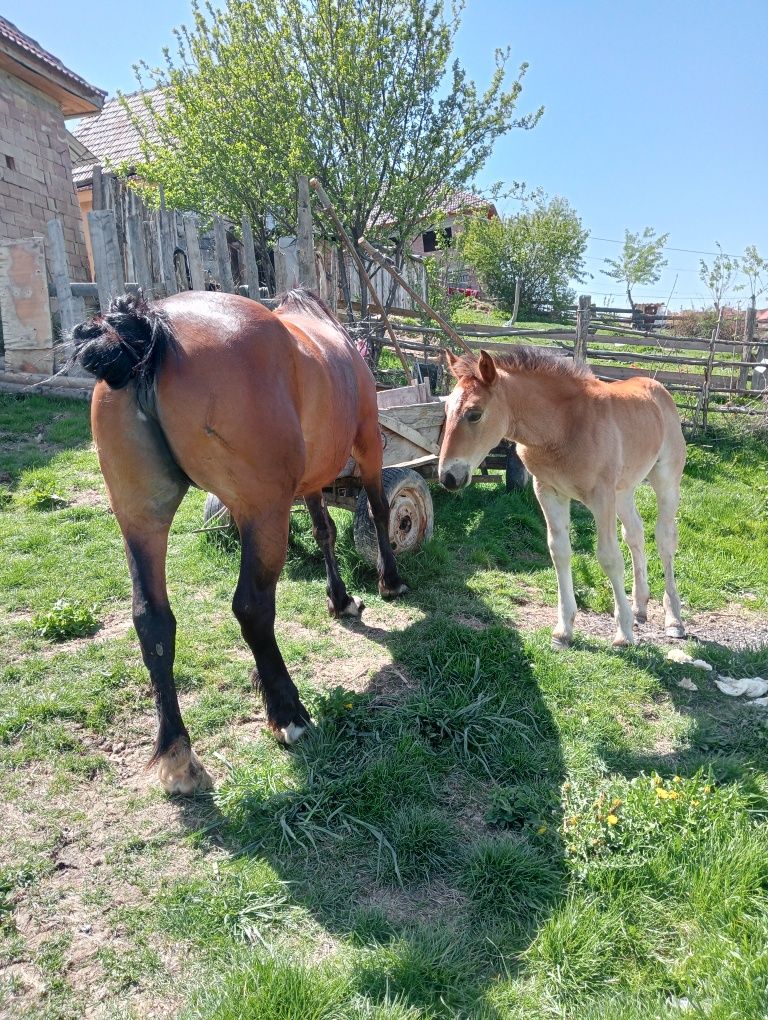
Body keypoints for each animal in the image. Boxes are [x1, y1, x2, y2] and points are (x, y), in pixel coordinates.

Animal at [440, 350, 685, 648]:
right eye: (446, 409)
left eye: (474, 414)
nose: (448, 477)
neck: (563, 426)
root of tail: (659, 388)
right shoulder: (548, 491)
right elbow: (560, 551)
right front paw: (564, 630)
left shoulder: (601, 495)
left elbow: (609, 557)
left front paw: (623, 634)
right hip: (624, 490)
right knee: (635, 533)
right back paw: (640, 607)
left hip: (665, 480)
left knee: (664, 538)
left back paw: (674, 620)